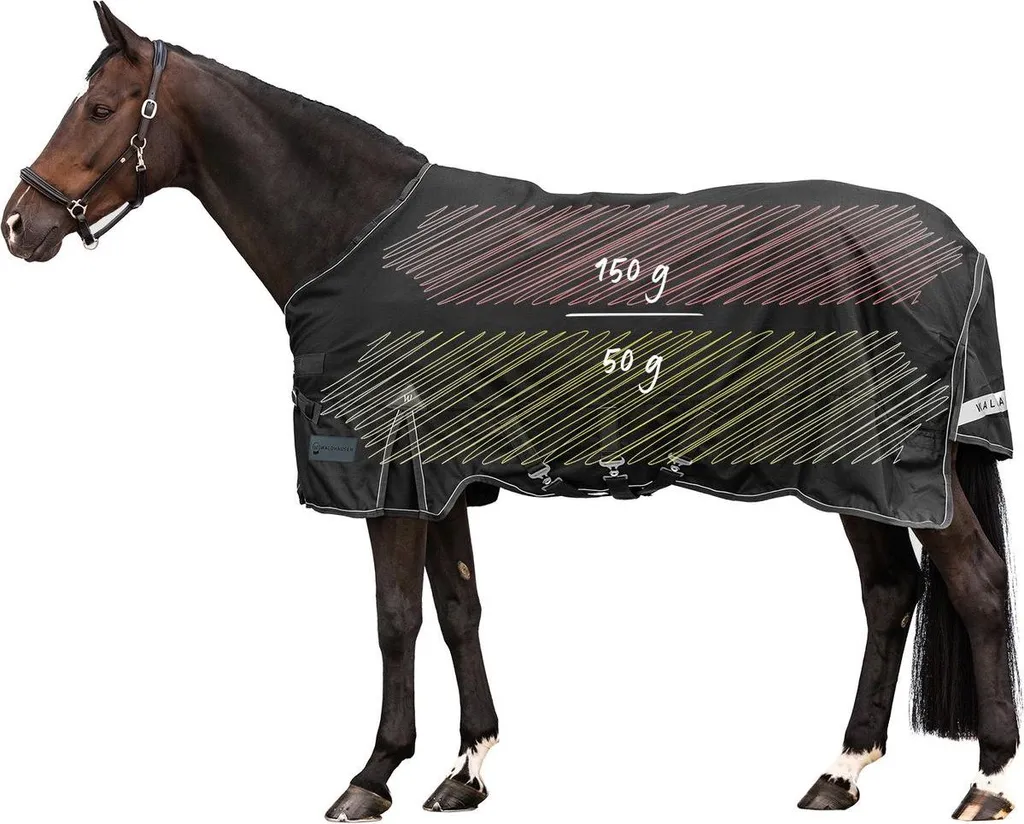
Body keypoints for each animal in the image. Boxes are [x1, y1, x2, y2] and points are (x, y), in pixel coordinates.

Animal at [4, 5, 1018, 821]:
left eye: (100, 109)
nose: (20, 224)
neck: (358, 233)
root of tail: (960, 248)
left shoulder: (387, 477)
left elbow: (395, 619)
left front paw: (371, 776)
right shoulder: (444, 479)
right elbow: (459, 609)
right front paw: (467, 770)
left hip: (892, 468)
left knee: (972, 581)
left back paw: (986, 783)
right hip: (857, 474)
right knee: (889, 592)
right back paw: (840, 772)